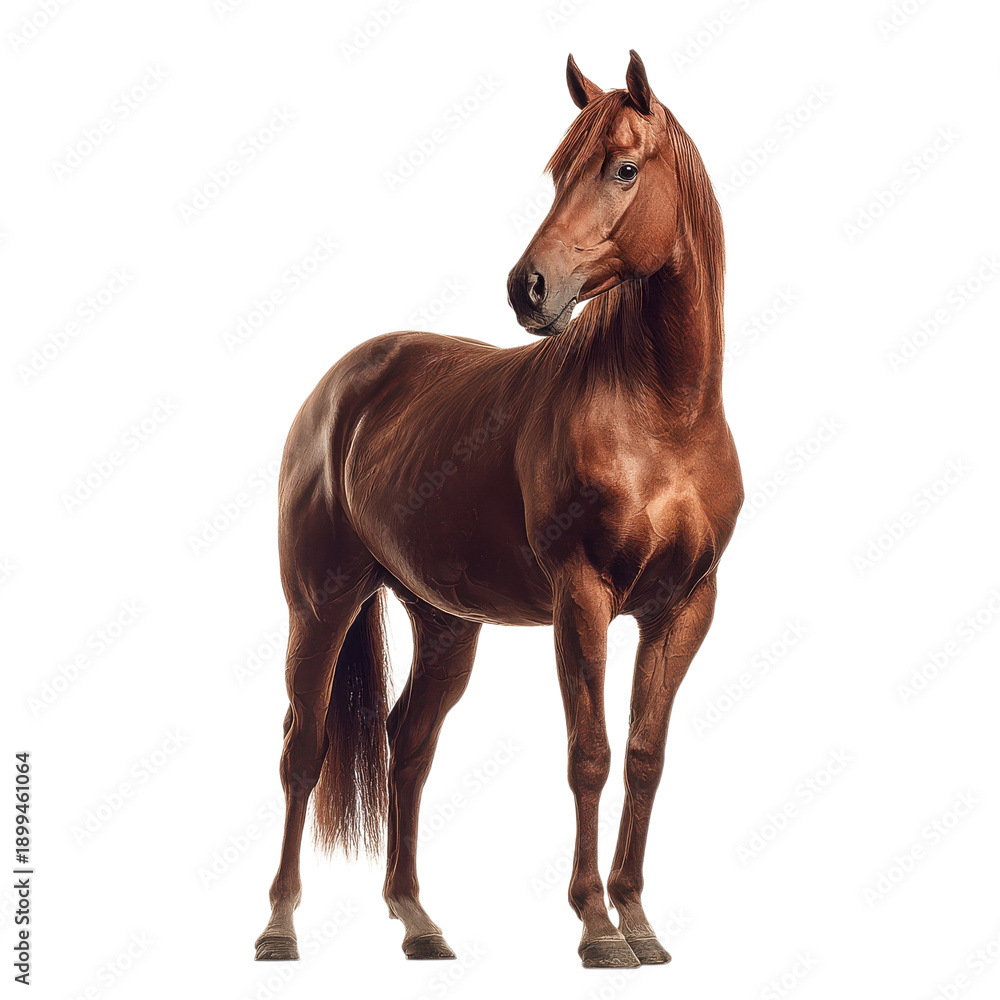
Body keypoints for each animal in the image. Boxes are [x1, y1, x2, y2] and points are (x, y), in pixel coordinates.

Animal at [254, 50, 743, 970]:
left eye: (624, 169)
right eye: (558, 171)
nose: (528, 288)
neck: (663, 414)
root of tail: (338, 388)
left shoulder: (683, 609)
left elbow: (644, 757)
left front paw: (640, 922)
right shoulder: (582, 598)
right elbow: (589, 755)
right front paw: (596, 929)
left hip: (446, 623)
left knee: (408, 746)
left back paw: (419, 921)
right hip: (322, 602)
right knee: (304, 748)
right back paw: (279, 926)